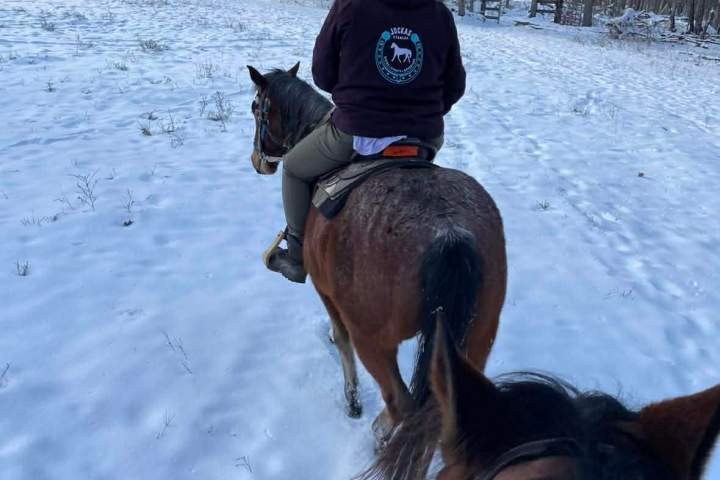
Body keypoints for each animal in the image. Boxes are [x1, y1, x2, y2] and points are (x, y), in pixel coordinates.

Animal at [247, 63, 507, 442]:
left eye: (256, 108)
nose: (258, 161)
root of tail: (450, 233)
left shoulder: (327, 292)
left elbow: (341, 339)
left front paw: (352, 399)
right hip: (479, 337)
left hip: (374, 340)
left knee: (401, 402)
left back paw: (380, 429)